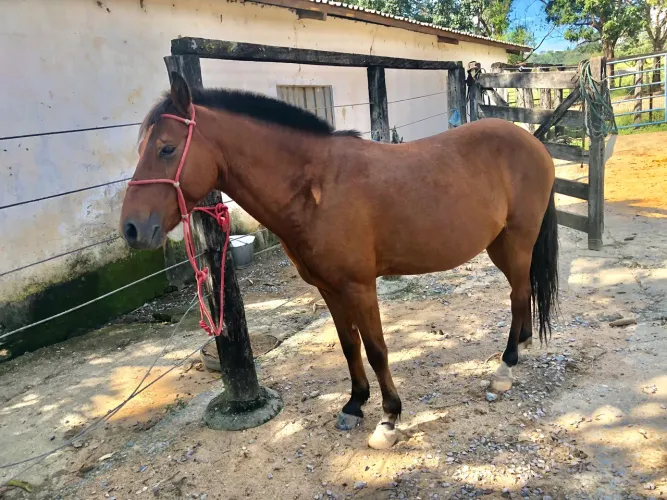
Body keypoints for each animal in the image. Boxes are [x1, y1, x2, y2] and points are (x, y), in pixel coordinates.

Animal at [119, 72, 558, 450]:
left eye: (167, 148)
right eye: (141, 149)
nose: (131, 229)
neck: (316, 188)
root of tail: (534, 143)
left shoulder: (360, 287)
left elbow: (377, 349)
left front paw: (389, 419)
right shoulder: (329, 289)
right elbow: (349, 346)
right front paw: (354, 404)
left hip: (517, 242)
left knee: (519, 293)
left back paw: (505, 368)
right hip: (499, 245)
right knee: (521, 292)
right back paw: (520, 344)